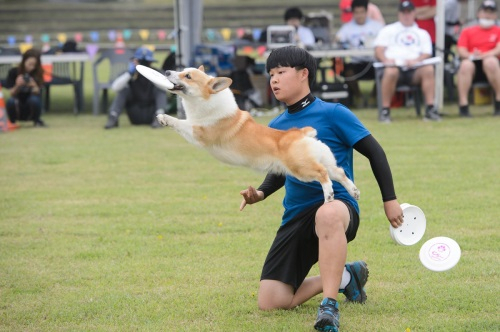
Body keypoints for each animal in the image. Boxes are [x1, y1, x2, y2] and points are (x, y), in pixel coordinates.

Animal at [156, 65, 360, 202]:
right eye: (182, 70)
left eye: (187, 76)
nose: (166, 72)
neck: (207, 102)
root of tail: (301, 133)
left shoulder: (199, 132)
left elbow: (181, 123)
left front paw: (164, 118)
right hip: (322, 159)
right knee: (339, 172)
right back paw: (353, 191)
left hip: (300, 168)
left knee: (323, 174)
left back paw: (329, 194)